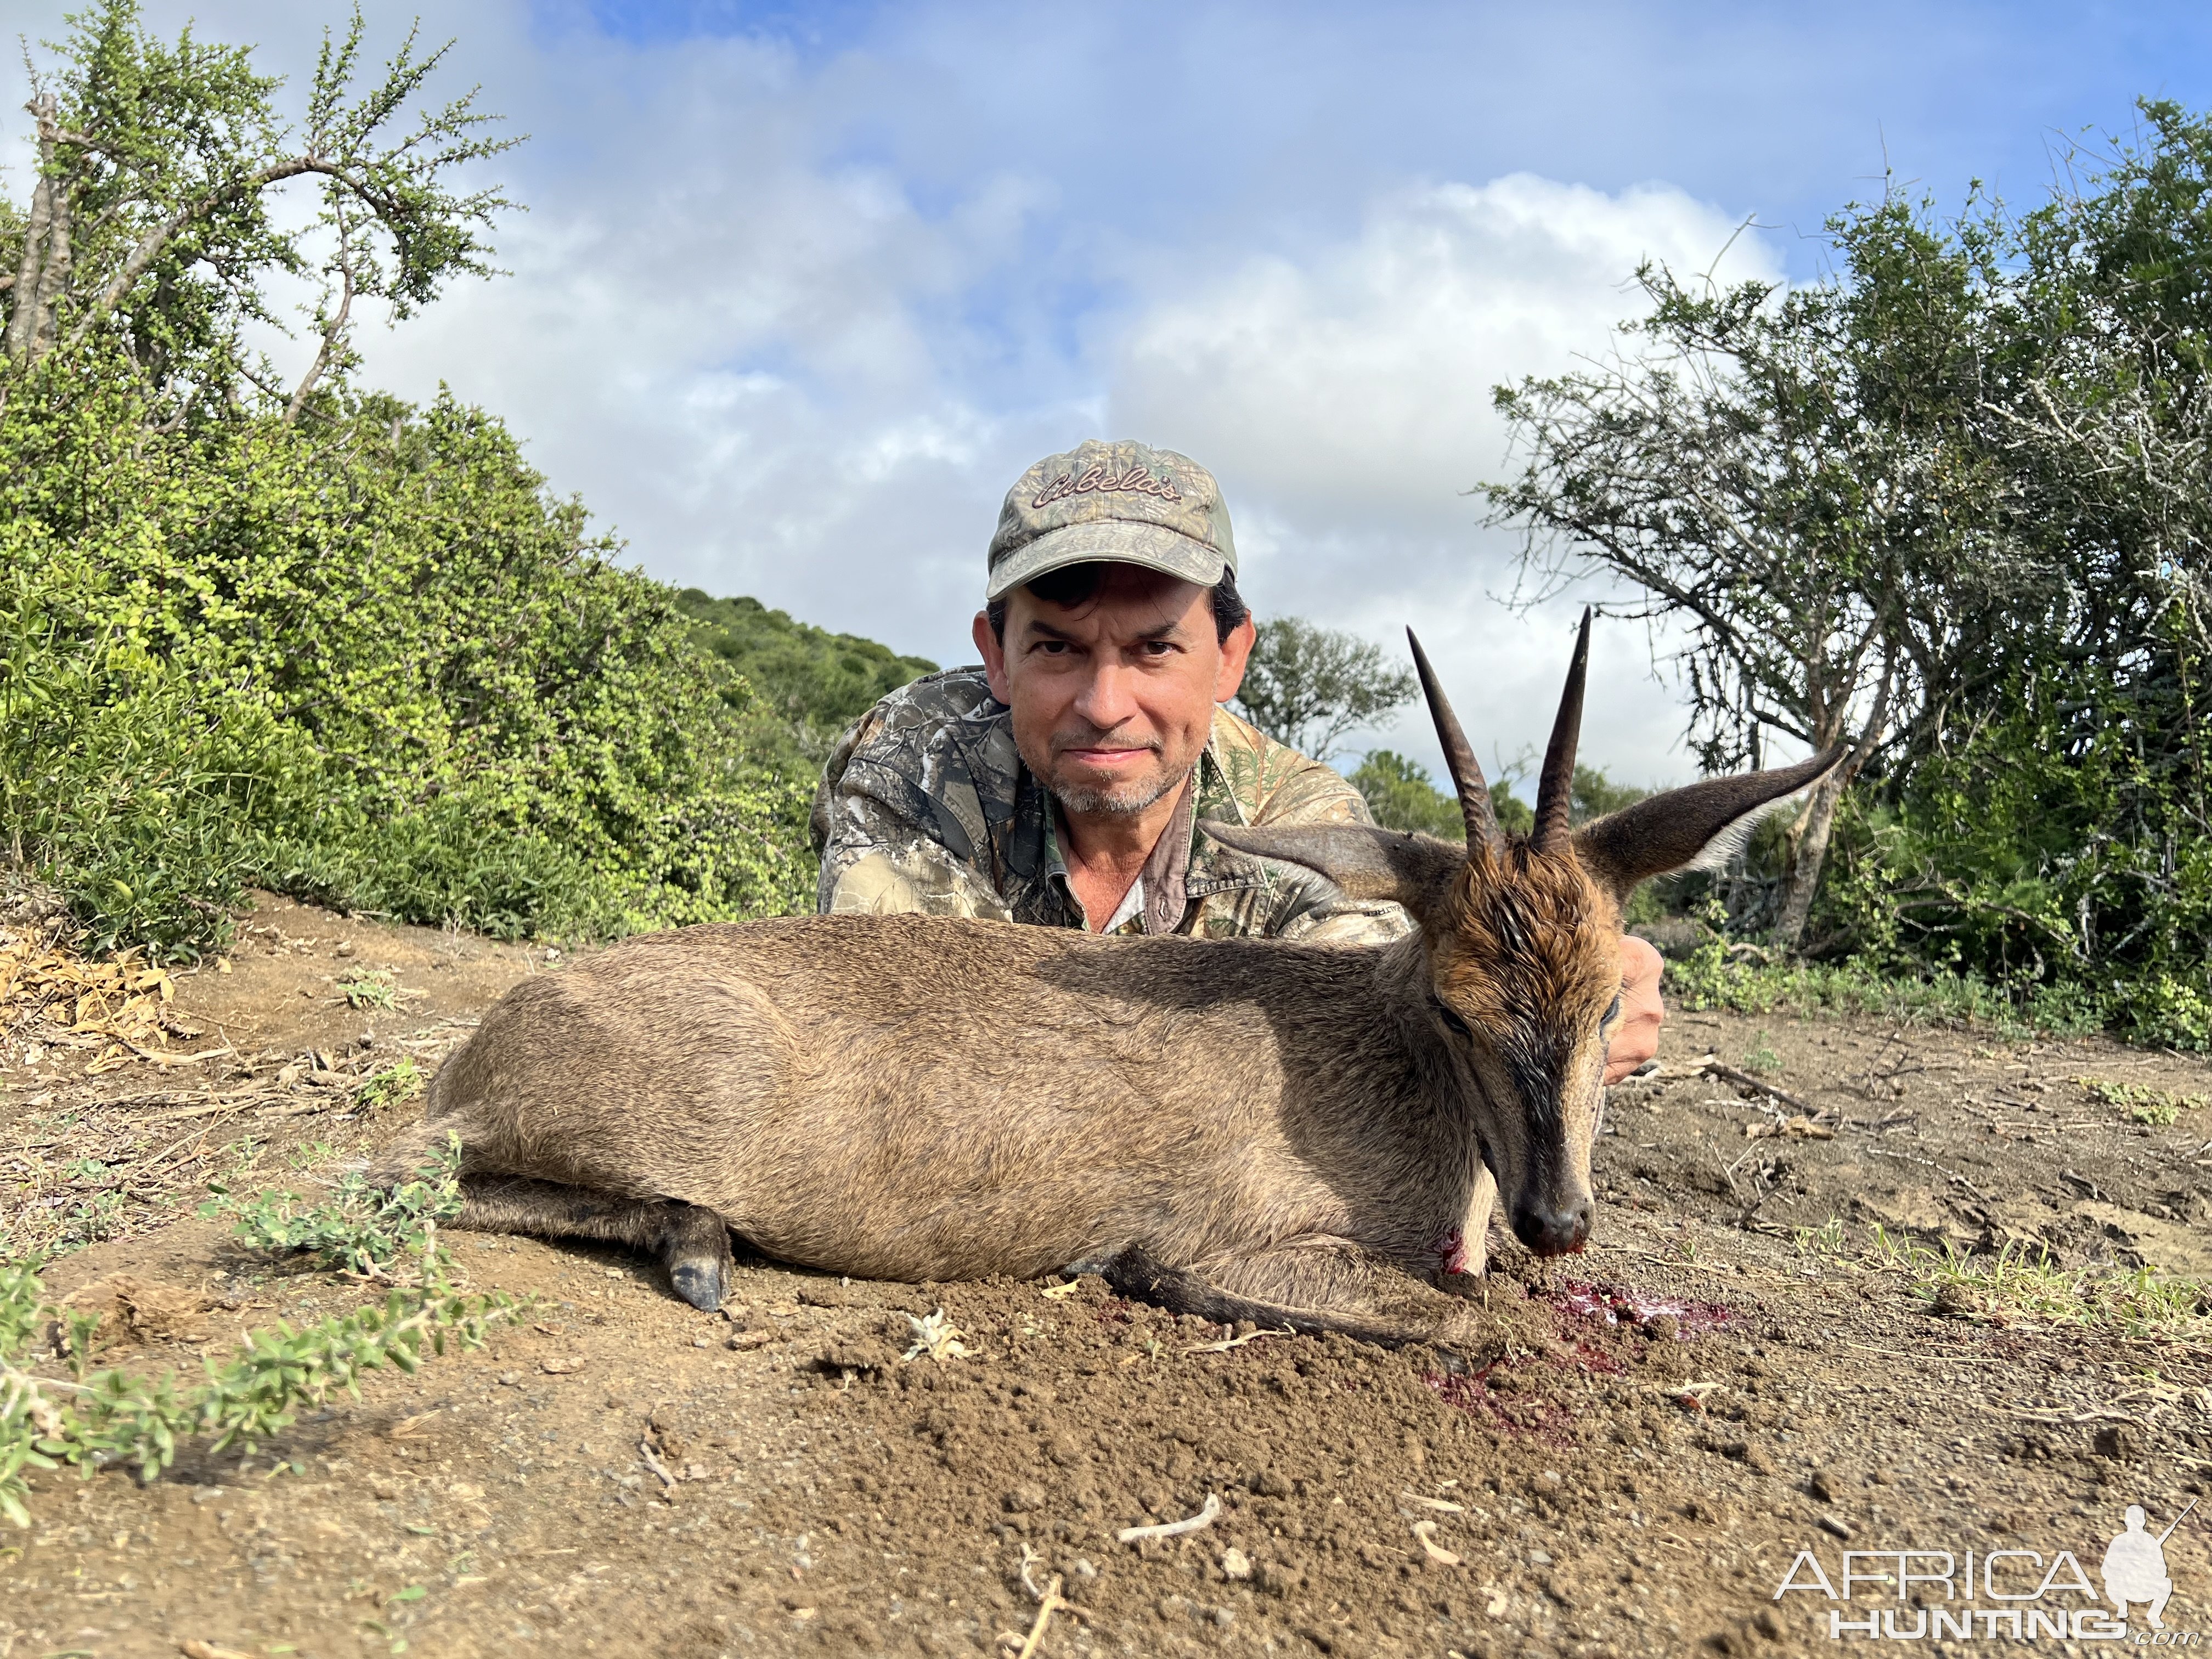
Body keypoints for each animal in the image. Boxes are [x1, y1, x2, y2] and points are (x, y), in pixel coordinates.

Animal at [376, 619, 1831, 1353]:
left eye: (1612, 1006)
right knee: (412, 1175)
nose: (1558, 1221)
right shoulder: (1201, 1247)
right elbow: (1477, 1326)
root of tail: (483, 1044)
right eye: (1458, 1006)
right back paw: (694, 1248)